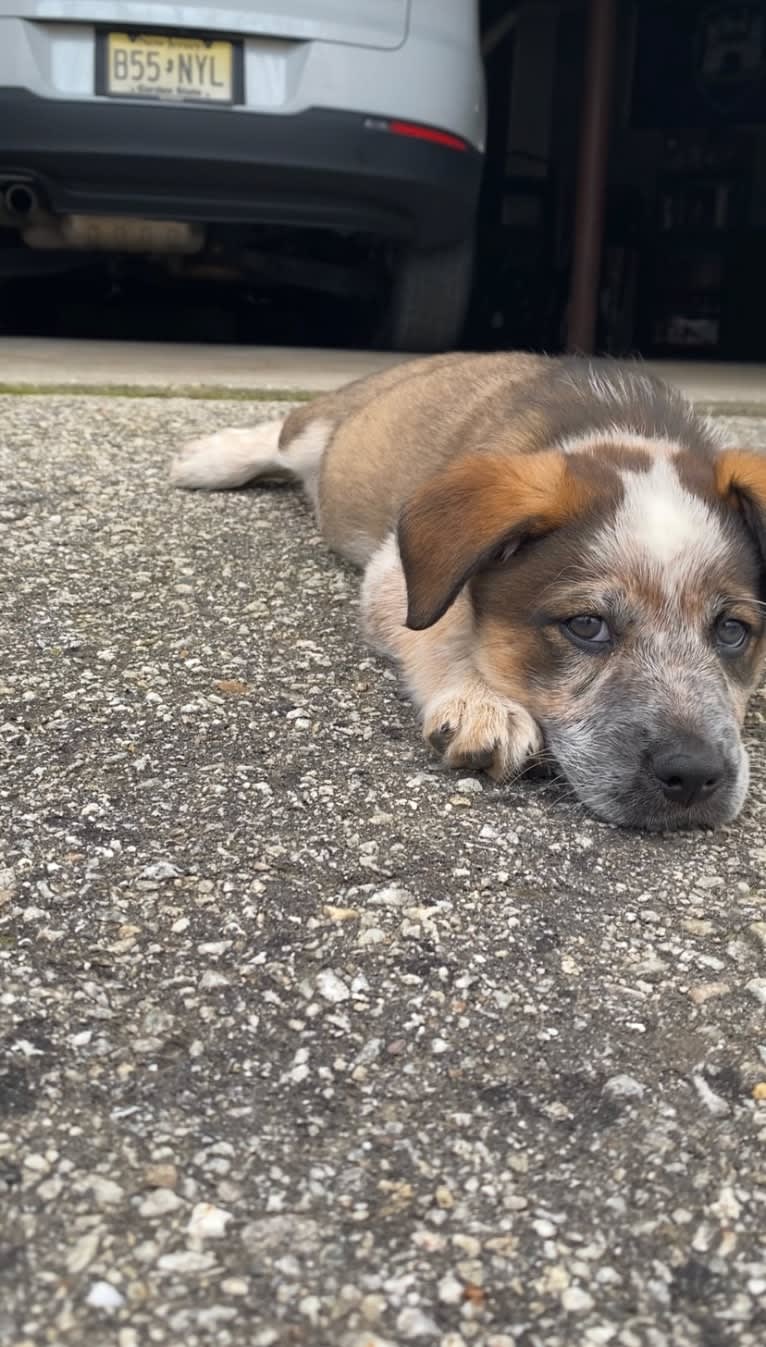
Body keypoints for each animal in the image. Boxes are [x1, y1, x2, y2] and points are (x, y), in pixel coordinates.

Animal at [170, 352, 764, 824]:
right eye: (586, 626)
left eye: (733, 631)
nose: (693, 775)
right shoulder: (395, 574)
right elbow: (443, 628)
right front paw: (480, 700)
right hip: (326, 433)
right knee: (283, 430)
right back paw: (210, 456)